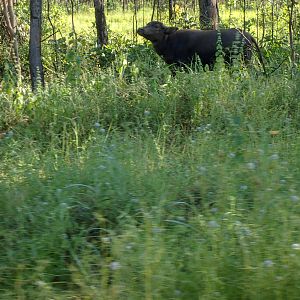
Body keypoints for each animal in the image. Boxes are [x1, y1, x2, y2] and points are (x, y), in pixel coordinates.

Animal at [137, 21, 266, 74]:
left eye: (157, 27)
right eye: (148, 24)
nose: (140, 29)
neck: (168, 44)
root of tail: (249, 36)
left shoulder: (185, 64)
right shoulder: (172, 66)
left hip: (244, 58)